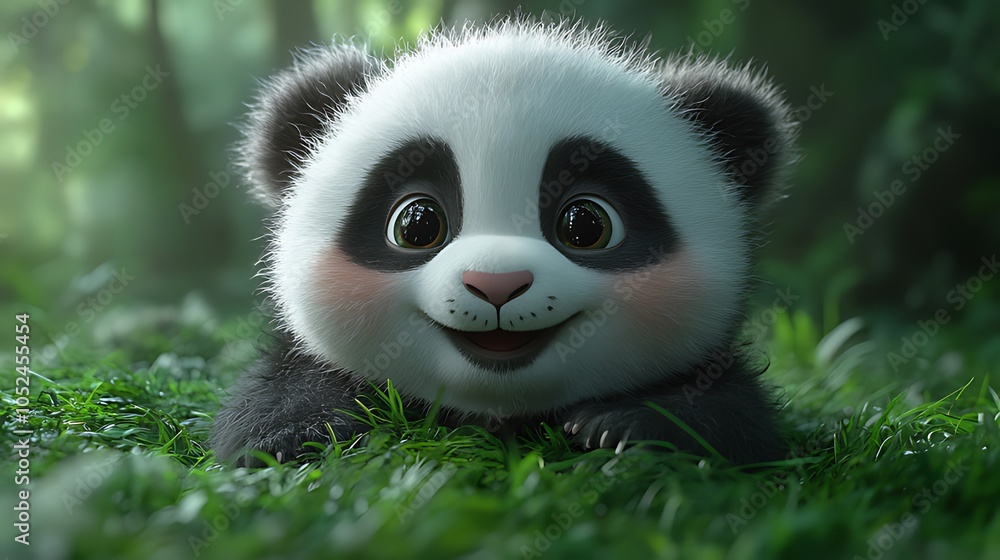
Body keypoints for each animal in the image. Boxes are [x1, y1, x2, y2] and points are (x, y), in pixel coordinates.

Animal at [211, 18, 797, 467]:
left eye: (586, 225)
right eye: (416, 225)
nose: (497, 284)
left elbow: (732, 420)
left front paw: (623, 426)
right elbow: (273, 404)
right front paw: (297, 435)